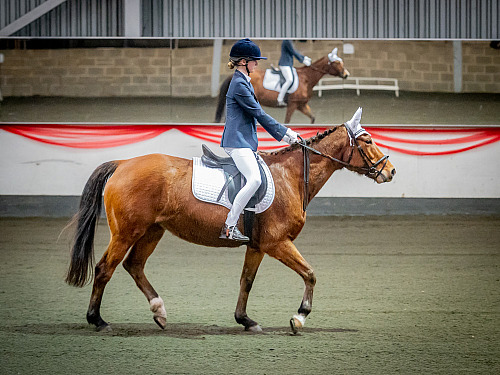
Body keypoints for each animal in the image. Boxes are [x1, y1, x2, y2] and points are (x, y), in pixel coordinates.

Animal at [65, 108, 394, 334]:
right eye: (366, 140)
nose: (390, 172)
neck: (290, 176)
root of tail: (123, 164)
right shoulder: (277, 243)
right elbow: (310, 274)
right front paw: (298, 317)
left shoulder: (258, 245)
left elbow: (246, 281)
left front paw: (245, 320)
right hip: (126, 232)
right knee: (105, 269)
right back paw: (98, 320)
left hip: (152, 231)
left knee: (134, 266)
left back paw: (159, 312)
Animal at [213, 47, 350, 125]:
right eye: (337, 62)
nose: (346, 74)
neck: (306, 79)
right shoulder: (292, 105)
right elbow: (287, 122)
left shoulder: (301, 105)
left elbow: (312, 118)